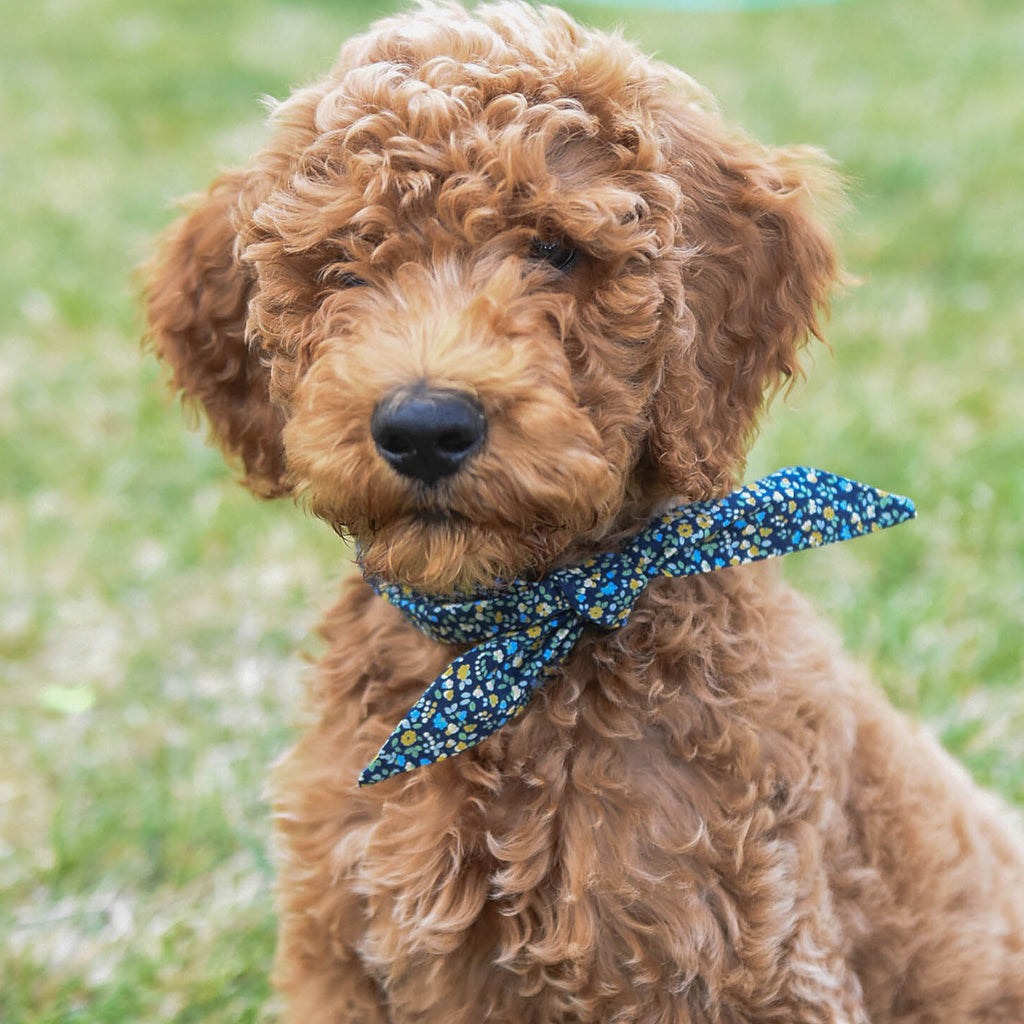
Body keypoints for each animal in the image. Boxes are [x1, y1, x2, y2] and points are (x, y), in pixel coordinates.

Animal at [144, 4, 1024, 1019]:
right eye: (340, 265)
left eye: (555, 251)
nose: (424, 428)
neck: (509, 639)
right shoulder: (339, 950)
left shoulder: (749, 956)